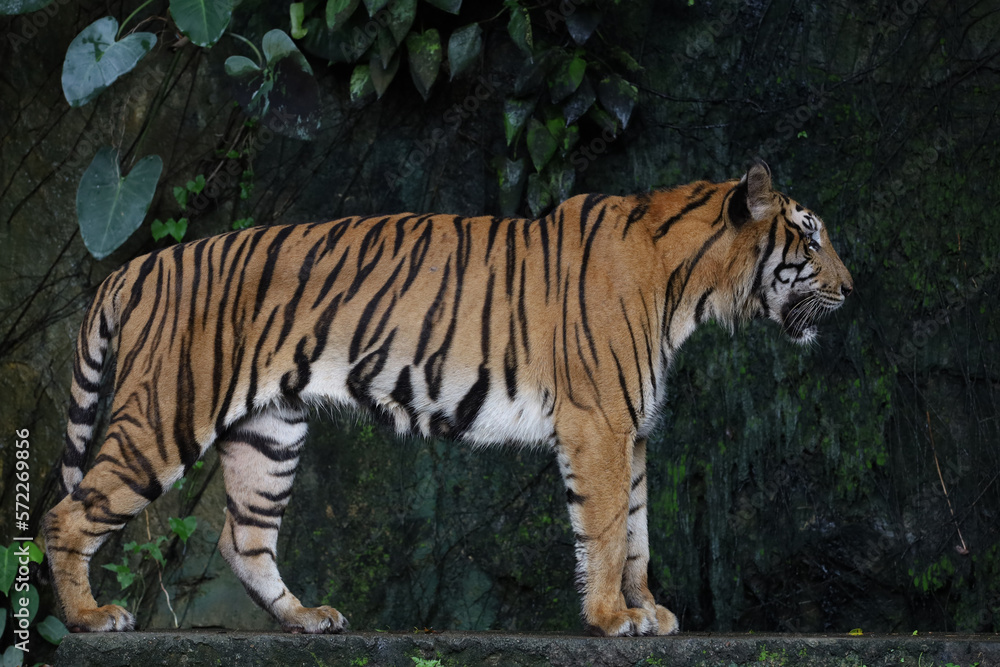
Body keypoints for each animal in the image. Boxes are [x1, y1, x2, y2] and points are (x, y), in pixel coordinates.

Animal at [43, 159, 852, 637]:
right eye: (810, 240)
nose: (852, 289)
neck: (694, 290)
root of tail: (142, 263)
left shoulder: (635, 431)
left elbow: (638, 533)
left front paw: (648, 609)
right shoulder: (600, 425)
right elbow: (604, 530)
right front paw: (610, 618)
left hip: (270, 432)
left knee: (242, 539)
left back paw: (306, 617)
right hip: (163, 416)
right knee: (67, 513)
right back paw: (90, 617)